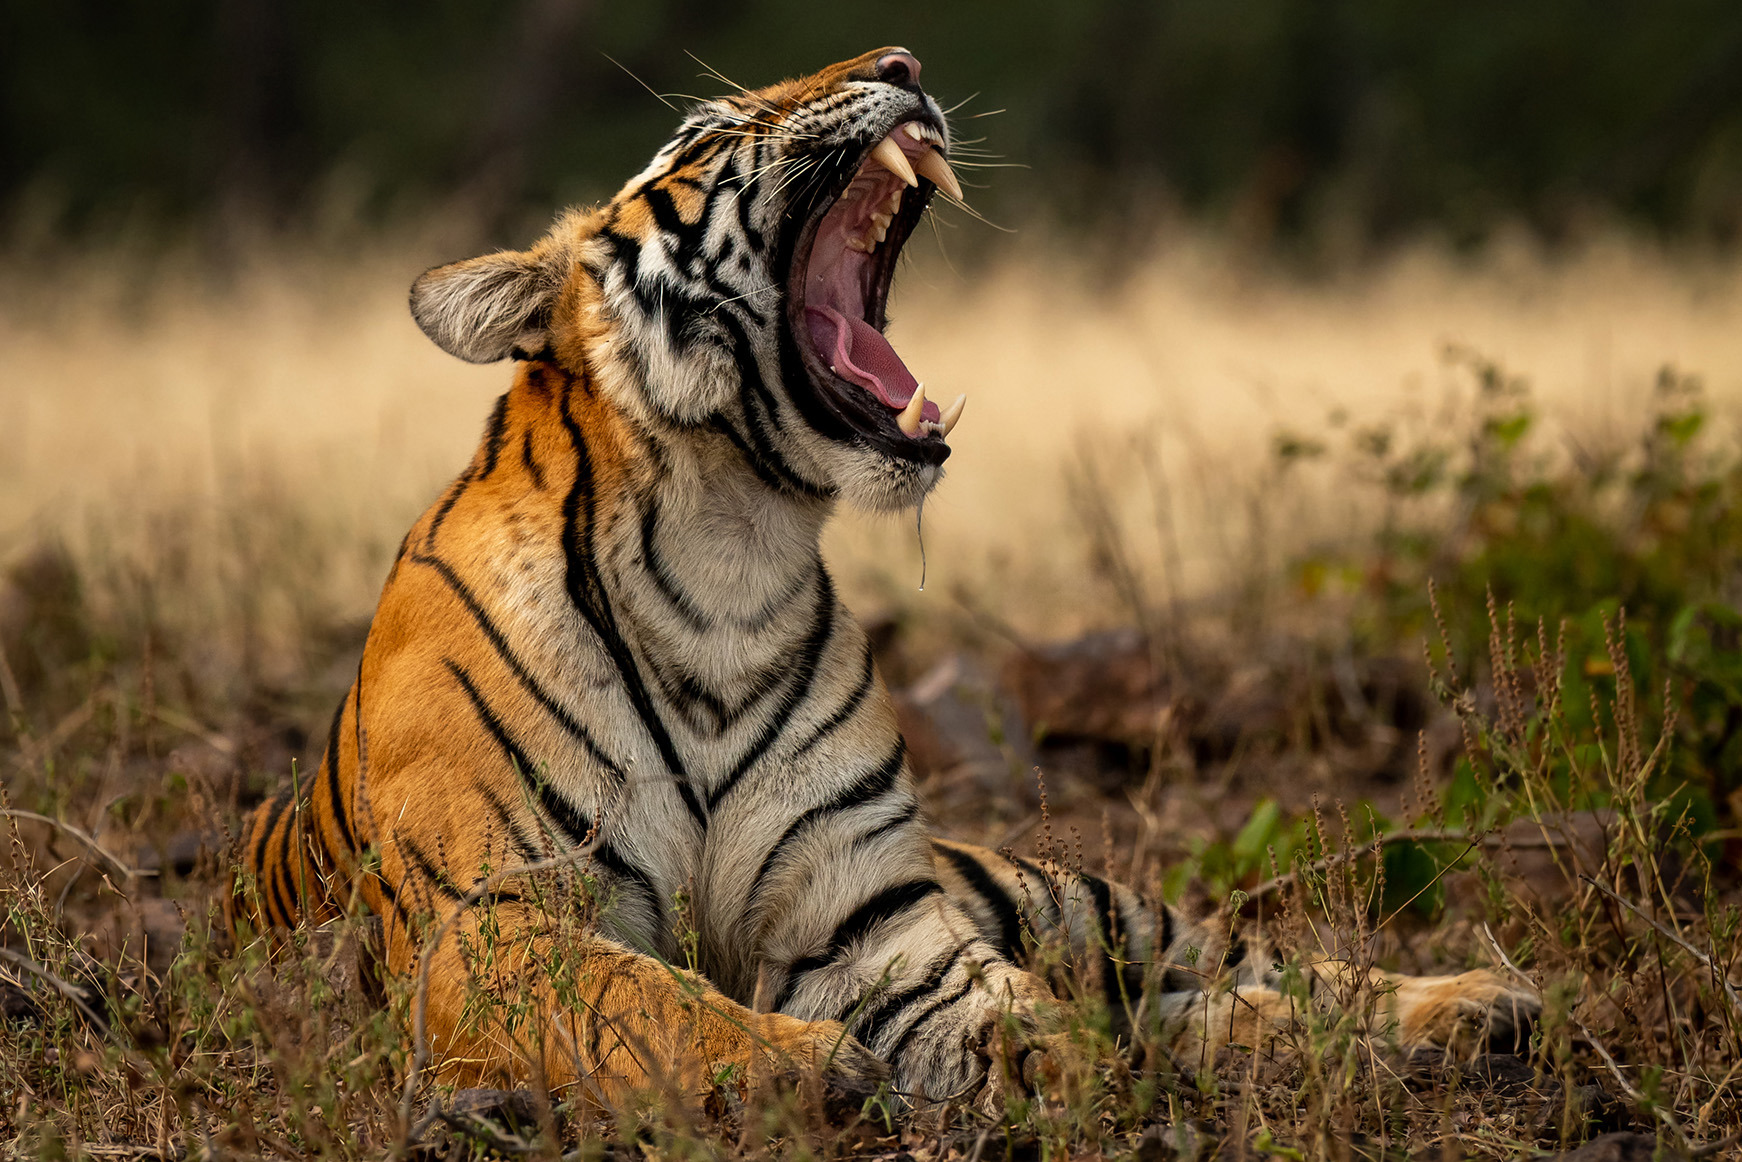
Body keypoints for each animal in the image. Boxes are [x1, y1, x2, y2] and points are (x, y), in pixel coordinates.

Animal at [233, 47, 1539, 1114]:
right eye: (709, 125)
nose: (903, 60)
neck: (724, 558)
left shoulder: (869, 922)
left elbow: (1009, 1006)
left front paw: (1063, 1067)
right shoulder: (493, 920)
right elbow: (645, 1004)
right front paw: (804, 1067)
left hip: (1073, 895)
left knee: (1255, 966)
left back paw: (1474, 1006)